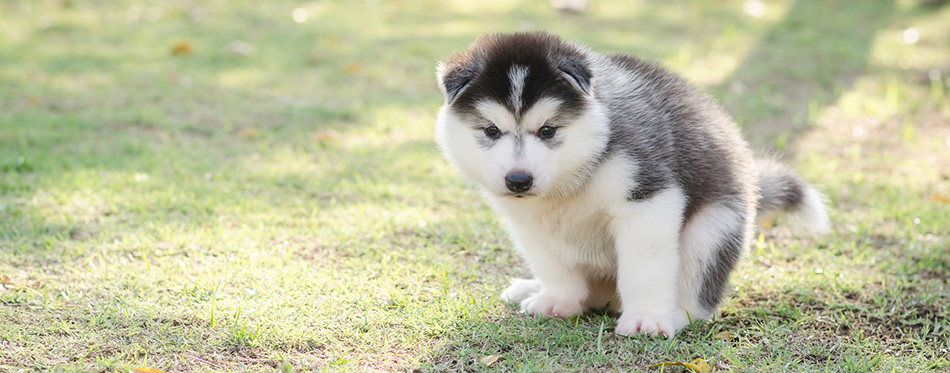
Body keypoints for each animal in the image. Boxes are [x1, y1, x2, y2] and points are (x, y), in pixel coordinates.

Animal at [436, 32, 828, 336]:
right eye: (491, 131)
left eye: (548, 130)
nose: (518, 180)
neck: (571, 178)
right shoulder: (528, 223)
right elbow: (552, 264)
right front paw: (558, 300)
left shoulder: (649, 200)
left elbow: (644, 268)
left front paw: (645, 319)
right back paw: (534, 288)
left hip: (715, 227)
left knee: (696, 298)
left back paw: (674, 315)